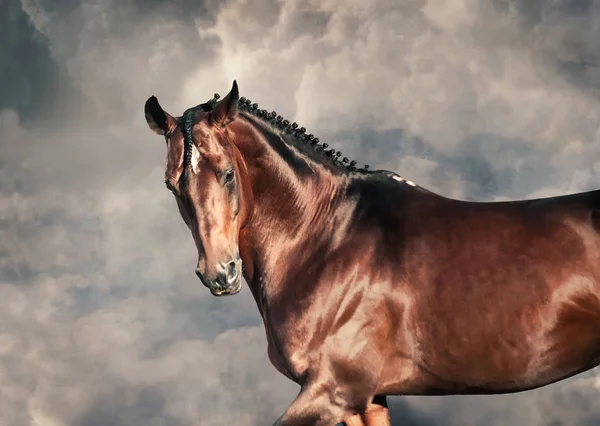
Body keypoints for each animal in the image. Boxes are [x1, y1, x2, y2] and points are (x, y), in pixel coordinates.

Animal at [144, 80, 600, 426]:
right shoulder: (367, 399)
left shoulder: (335, 391)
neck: (325, 239)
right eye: (171, 184)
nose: (220, 273)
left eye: (227, 173)